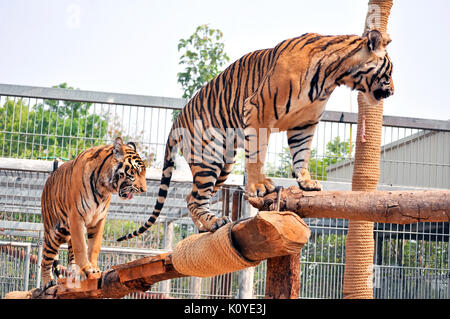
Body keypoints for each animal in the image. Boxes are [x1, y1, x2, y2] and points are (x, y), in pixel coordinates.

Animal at [40, 138, 146, 290]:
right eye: (135, 171)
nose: (144, 189)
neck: (104, 187)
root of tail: (49, 178)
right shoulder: (76, 217)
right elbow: (80, 247)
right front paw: (86, 269)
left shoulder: (98, 219)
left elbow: (94, 246)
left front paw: (93, 268)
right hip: (54, 233)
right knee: (46, 258)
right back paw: (47, 281)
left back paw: (74, 271)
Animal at [117, 29, 394, 242]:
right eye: (389, 72)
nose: (393, 91)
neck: (333, 77)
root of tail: (177, 121)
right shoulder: (259, 111)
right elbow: (257, 155)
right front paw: (260, 186)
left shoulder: (304, 124)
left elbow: (301, 155)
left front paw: (306, 183)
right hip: (209, 157)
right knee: (194, 198)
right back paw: (214, 223)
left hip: (224, 165)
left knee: (190, 197)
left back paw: (207, 226)